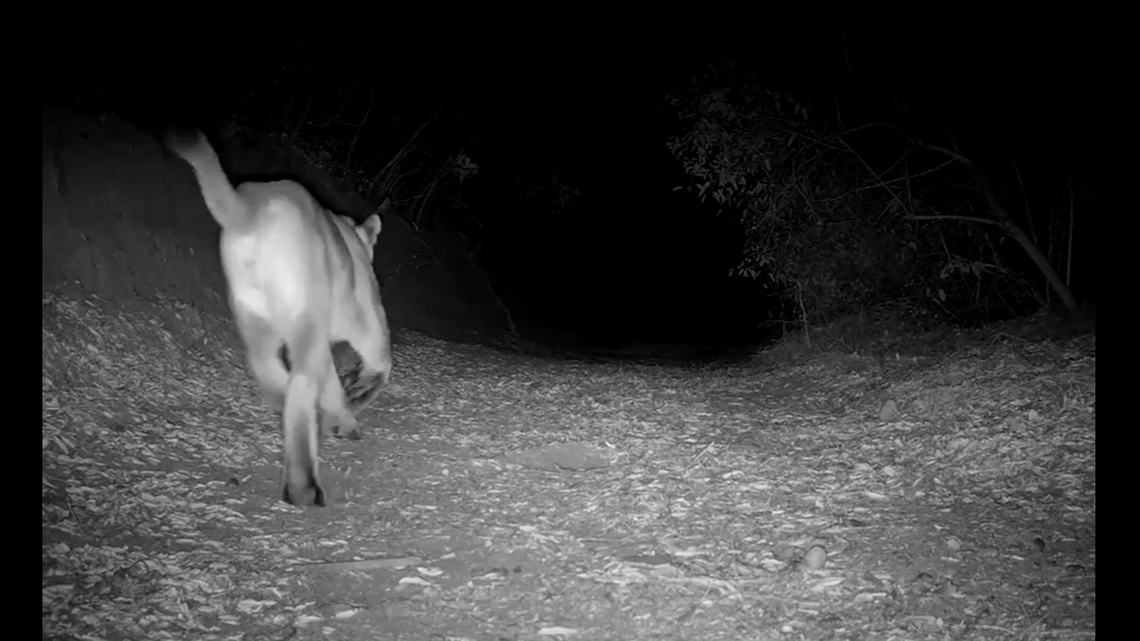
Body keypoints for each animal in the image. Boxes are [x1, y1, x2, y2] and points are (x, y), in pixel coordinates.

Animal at [168, 131, 392, 507]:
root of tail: (250, 211)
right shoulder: (368, 323)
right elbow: (381, 368)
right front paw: (355, 399)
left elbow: (333, 384)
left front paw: (341, 414)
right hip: (305, 320)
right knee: (299, 383)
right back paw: (303, 486)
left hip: (259, 321)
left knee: (271, 371)